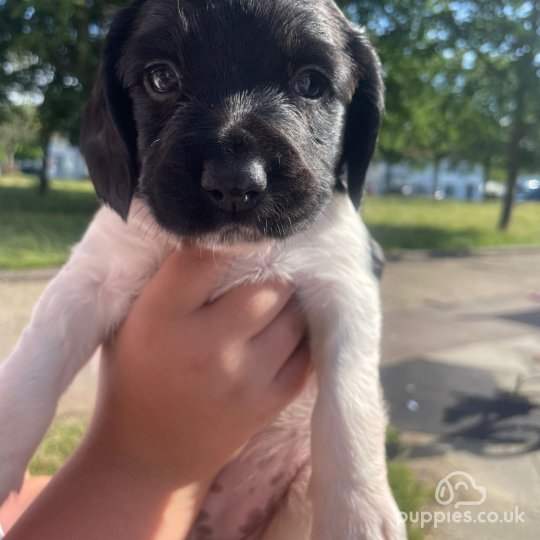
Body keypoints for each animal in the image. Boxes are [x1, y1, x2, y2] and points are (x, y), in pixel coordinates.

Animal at [0, 2, 404, 536]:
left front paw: (359, 512)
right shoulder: (91, 279)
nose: (235, 182)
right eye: (161, 78)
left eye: (311, 84)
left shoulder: (345, 291)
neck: (239, 254)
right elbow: (34, 366)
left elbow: (350, 406)